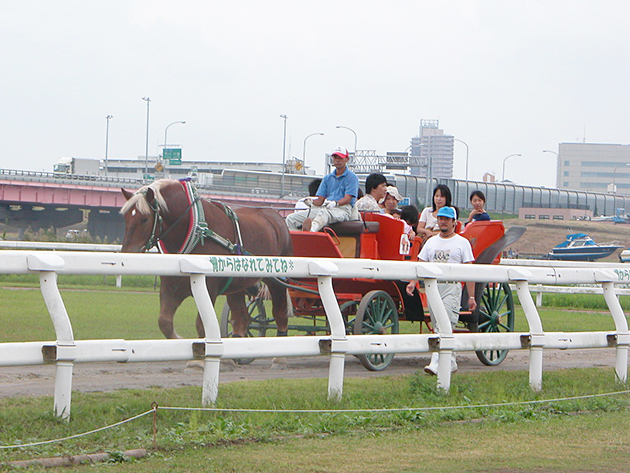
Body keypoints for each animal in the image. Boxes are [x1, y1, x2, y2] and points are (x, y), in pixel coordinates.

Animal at [120, 179, 294, 342]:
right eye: (125, 217)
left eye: (144, 219)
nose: (127, 253)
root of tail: (277, 217)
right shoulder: (171, 287)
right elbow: (164, 322)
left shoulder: (209, 288)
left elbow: (201, 327)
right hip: (237, 285)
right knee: (241, 318)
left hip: (277, 281)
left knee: (280, 315)